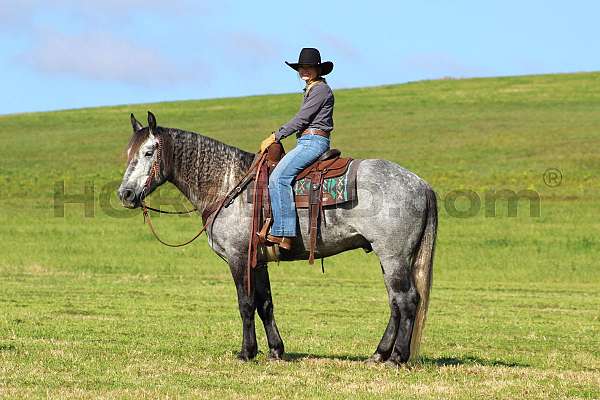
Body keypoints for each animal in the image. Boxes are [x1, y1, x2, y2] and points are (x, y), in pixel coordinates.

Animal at [118, 111, 436, 366]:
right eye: (129, 153)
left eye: (148, 152)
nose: (126, 194)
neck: (228, 185)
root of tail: (421, 183)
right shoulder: (258, 261)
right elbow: (265, 304)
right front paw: (275, 350)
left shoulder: (238, 257)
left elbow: (246, 304)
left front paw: (246, 353)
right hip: (389, 258)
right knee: (395, 303)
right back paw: (379, 354)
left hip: (393, 256)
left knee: (407, 300)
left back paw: (396, 358)